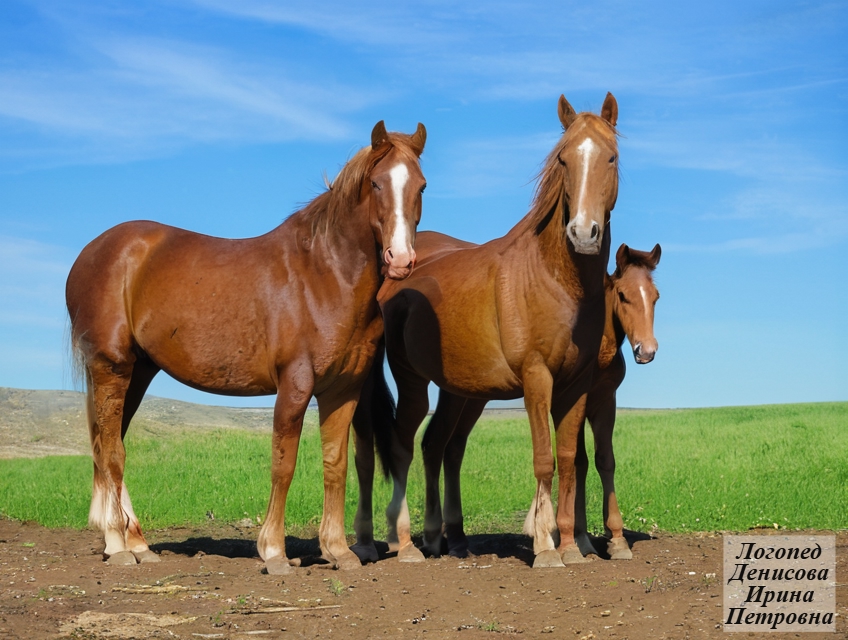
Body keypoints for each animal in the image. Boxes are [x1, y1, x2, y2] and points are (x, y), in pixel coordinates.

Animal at [65, 120, 427, 575]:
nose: (401, 260)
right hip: (110, 366)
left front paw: (338, 550)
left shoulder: (343, 390)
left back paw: (135, 543)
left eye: (421, 185)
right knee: (111, 452)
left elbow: (336, 464)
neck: (324, 276)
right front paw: (274, 552)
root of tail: (92, 253)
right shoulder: (295, 384)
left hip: (138, 371)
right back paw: (119, 546)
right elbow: (283, 465)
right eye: (377, 184)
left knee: (109, 446)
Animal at [351, 93, 620, 568]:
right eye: (564, 159)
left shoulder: (577, 384)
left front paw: (572, 546)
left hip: (461, 391)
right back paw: (392, 542)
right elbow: (544, 459)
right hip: (410, 382)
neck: (555, 278)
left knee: (438, 445)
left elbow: (570, 458)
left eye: (611, 157)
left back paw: (443, 538)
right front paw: (545, 545)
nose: (583, 233)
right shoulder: (537, 378)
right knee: (391, 448)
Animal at [573, 242, 661, 560]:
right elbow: (578, 462)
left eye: (655, 297)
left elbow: (604, 460)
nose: (646, 351)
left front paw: (617, 539)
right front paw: (580, 538)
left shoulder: (605, 403)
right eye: (623, 295)